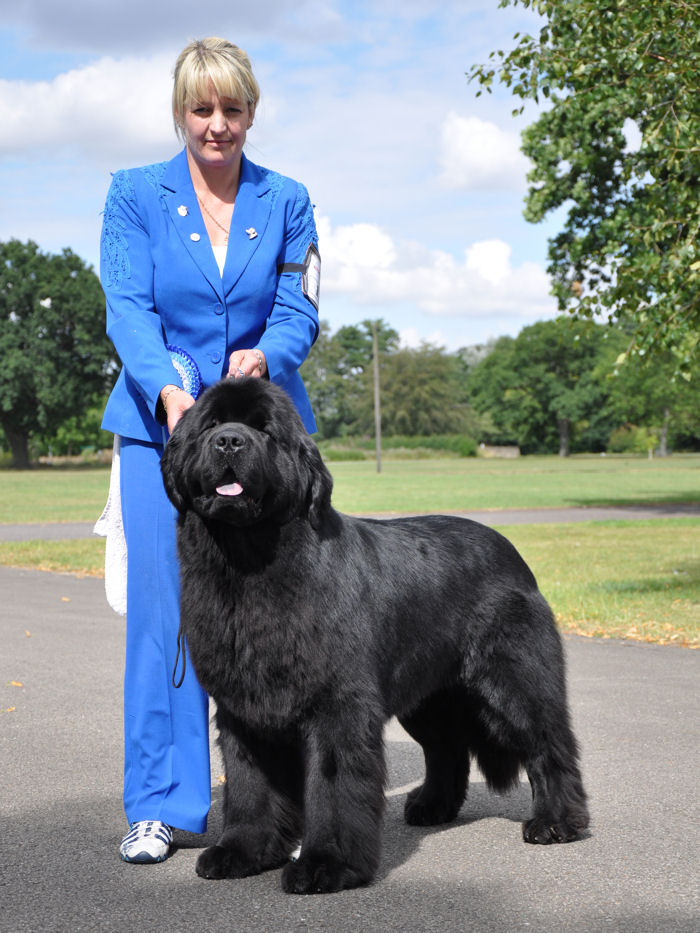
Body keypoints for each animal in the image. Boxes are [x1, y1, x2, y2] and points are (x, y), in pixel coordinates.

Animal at [161, 376, 588, 896]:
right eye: (212, 425)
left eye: (264, 430)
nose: (229, 442)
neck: (249, 567)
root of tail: (512, 553)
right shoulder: (244, 709)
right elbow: (249, 786)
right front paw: (241, 851)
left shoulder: (337, 706)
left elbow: (332, 787)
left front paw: (326, 865)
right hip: (428, 697)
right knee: (447, 750)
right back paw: (431, 806)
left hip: (513, 682)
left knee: (549, 744)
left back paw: (556, 822)